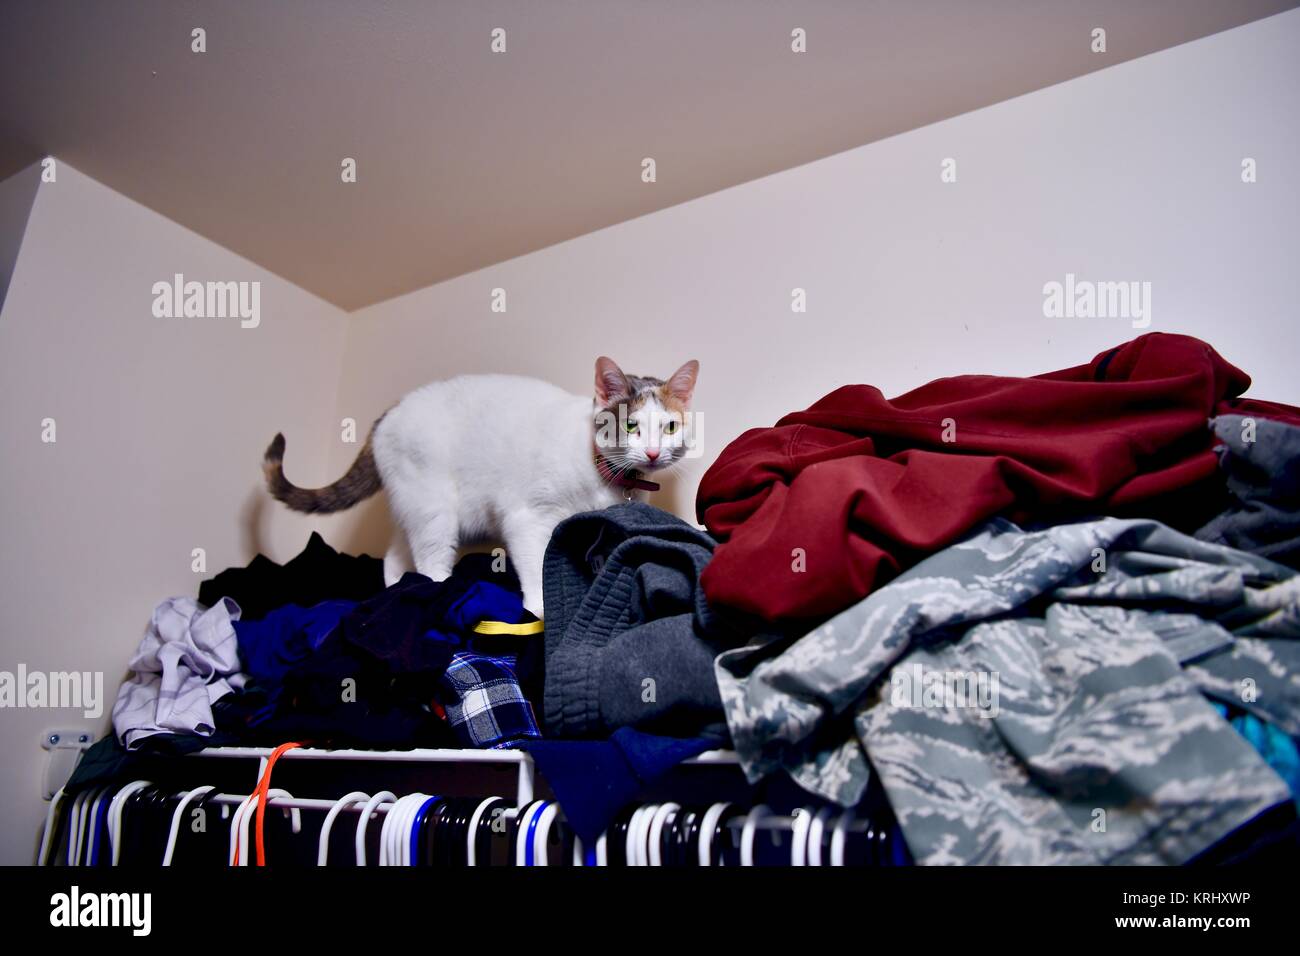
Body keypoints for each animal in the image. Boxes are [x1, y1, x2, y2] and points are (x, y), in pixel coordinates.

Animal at [262, 356, 702, 616]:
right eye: (630, 425)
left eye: (670, 427)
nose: (651, 453)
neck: (602, 475)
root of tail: (391, 411)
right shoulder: (527, 518)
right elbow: (537, 565)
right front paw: (541, 610)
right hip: (435, 511)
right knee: (429, 559)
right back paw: (439, 591)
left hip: (420, 509)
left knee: (394, 556)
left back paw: (396, 591)